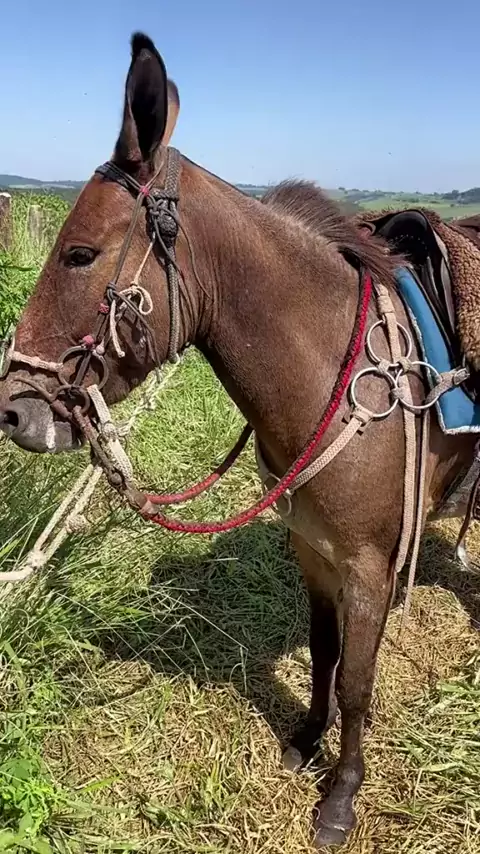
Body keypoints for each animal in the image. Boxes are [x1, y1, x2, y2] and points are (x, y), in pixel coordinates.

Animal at [0, 33, 476, 848]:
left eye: (80, 254)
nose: (13, 410)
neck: (329, 370)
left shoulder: (368, 567)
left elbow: (359, 682)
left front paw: (341, 796)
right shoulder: (312, 549)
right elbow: (324, 655)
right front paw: (306, 740)